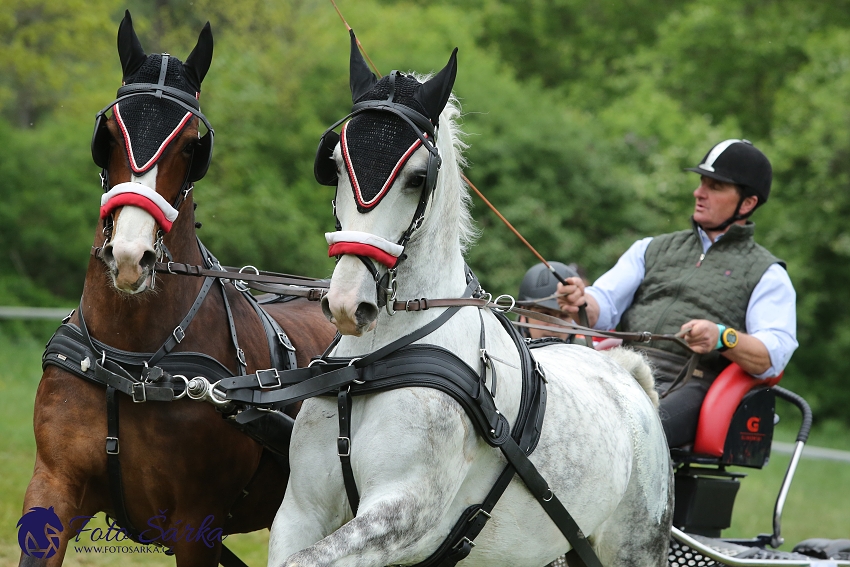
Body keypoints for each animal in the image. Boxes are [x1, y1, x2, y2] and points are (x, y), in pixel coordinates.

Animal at [19, 11, 334, 564]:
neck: (130, 363)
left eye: (191, 146)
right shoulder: (53, 487)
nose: (129, 256)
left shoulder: (196, 524)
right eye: (109, 133)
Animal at [268, 36, 672, 567]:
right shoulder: (300, 511)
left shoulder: (401, 515)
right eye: (334, 165)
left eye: (417, 178)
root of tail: (625, 373)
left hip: (635, 547)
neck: (373, 362)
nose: (347, 302)